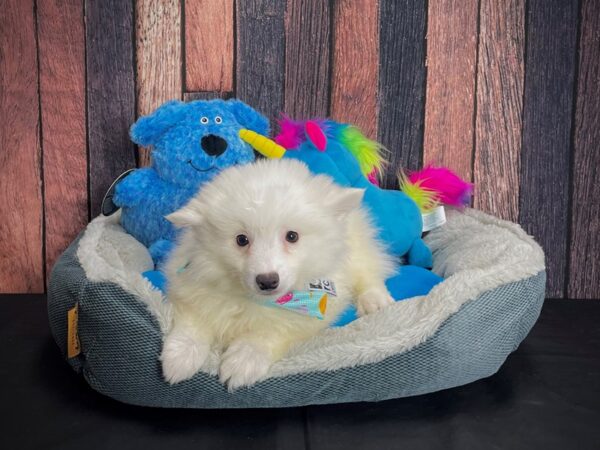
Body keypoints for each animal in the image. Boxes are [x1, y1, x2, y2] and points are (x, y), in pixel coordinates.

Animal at [162, 159, 396, 390]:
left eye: (292, 236)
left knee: (368, 269)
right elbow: (194, 320)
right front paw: (180, 357)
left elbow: (272, 331)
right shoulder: (190, 283)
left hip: (357, 246)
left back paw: (374, 300)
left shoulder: (310, 312)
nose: (267, 281)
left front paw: (244, 360)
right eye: (241, 239)